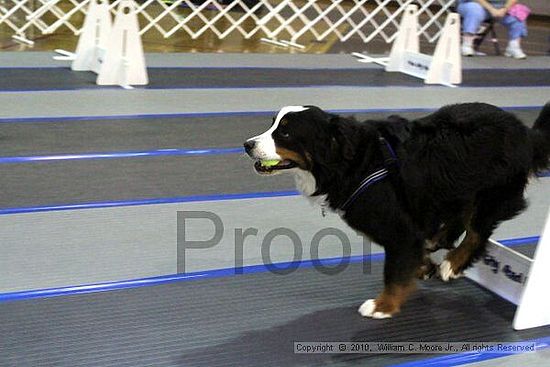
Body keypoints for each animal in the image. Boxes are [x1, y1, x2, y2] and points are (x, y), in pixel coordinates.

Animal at [246, 103, 550, 320]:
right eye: (272, 124)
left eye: (285, 132)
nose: (247, 144)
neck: (356, 162)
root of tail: (527, 134)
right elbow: (411, 256)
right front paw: (422, 266)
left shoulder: (400, 231)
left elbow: (394, 271)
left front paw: (382, 306)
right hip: (456, 188)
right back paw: (438, 245)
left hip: (490, 192)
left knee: (477, 232)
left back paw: (452, 264)